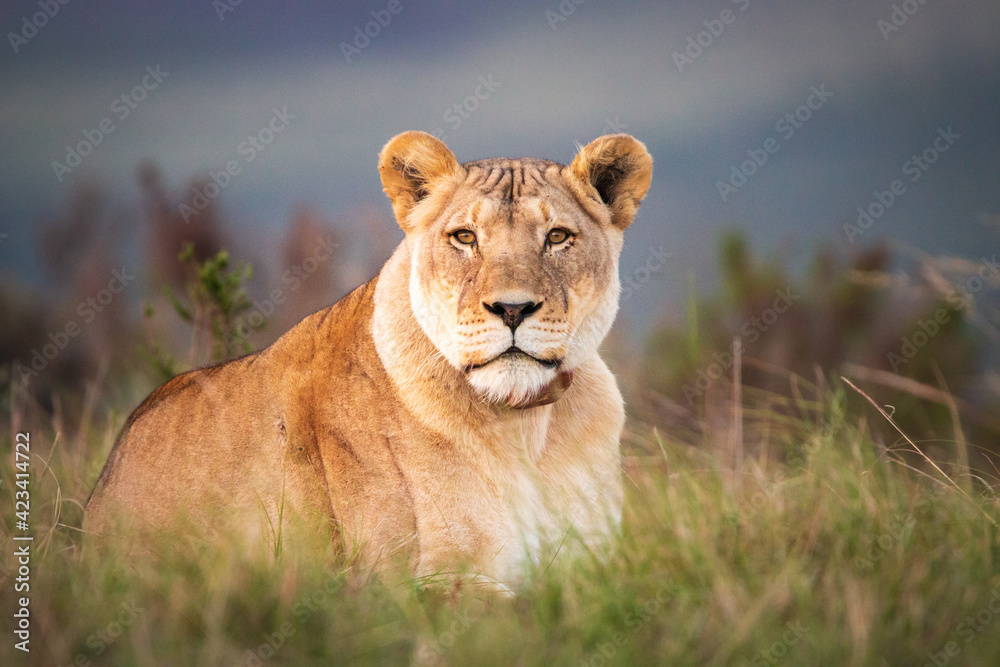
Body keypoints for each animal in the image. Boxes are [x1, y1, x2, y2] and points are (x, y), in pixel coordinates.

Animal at [83, 131, 653, 588]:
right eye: (465, 237)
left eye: (557, 237)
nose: (512, 308)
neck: (526, 430)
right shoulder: (406, 584)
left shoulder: (597, 568)